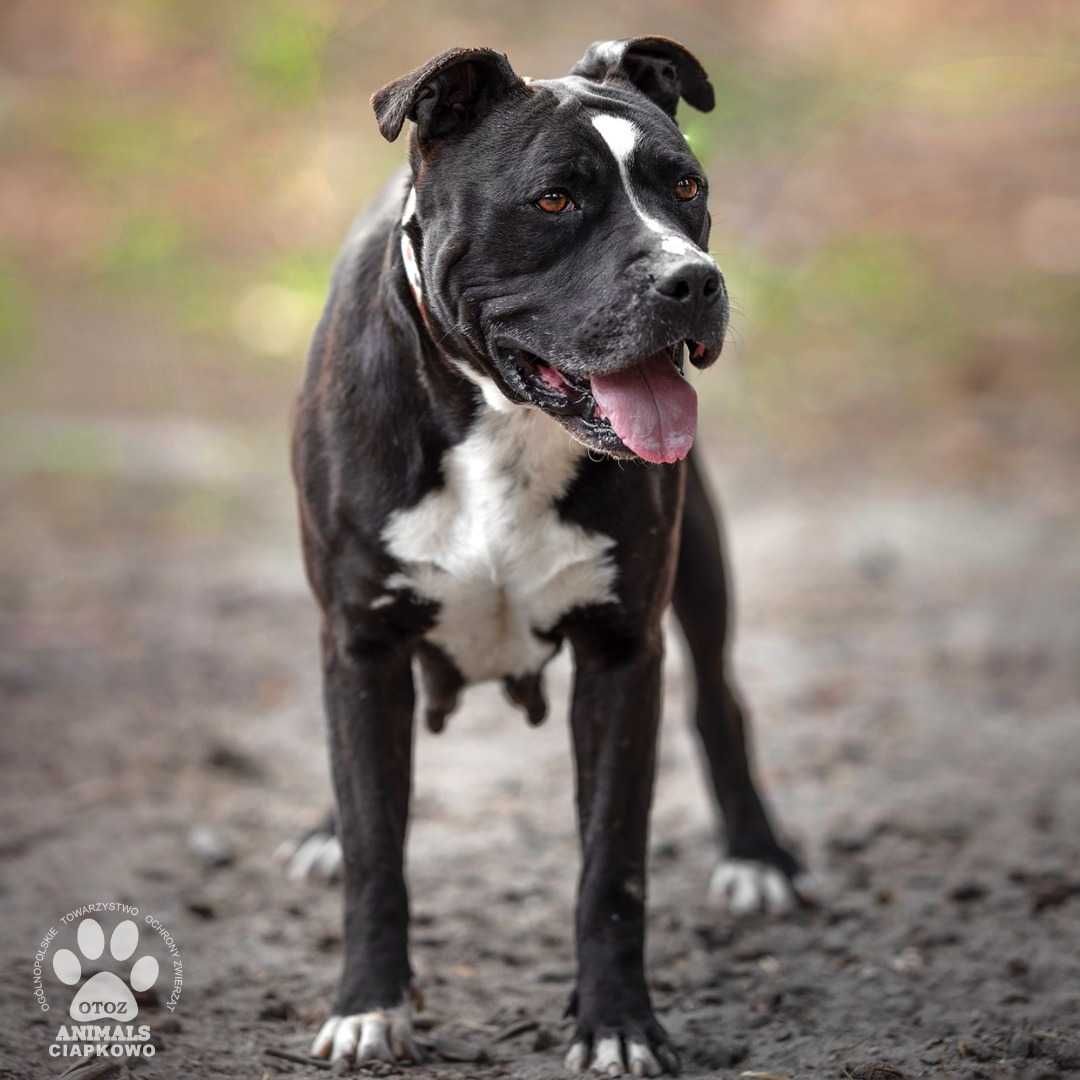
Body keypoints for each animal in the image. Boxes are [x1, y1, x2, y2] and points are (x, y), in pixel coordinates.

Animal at [289, 38, 812, 1075]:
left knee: (718, 697)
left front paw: (617, 1024)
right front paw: (369, 1004)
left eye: (686, 186)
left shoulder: (621, 654)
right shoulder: (360, 646)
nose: (693, 280)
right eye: (555, 200)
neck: (506, 424)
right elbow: (375, 849)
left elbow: (612, 868)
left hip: (700, 568)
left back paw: (755, 856)